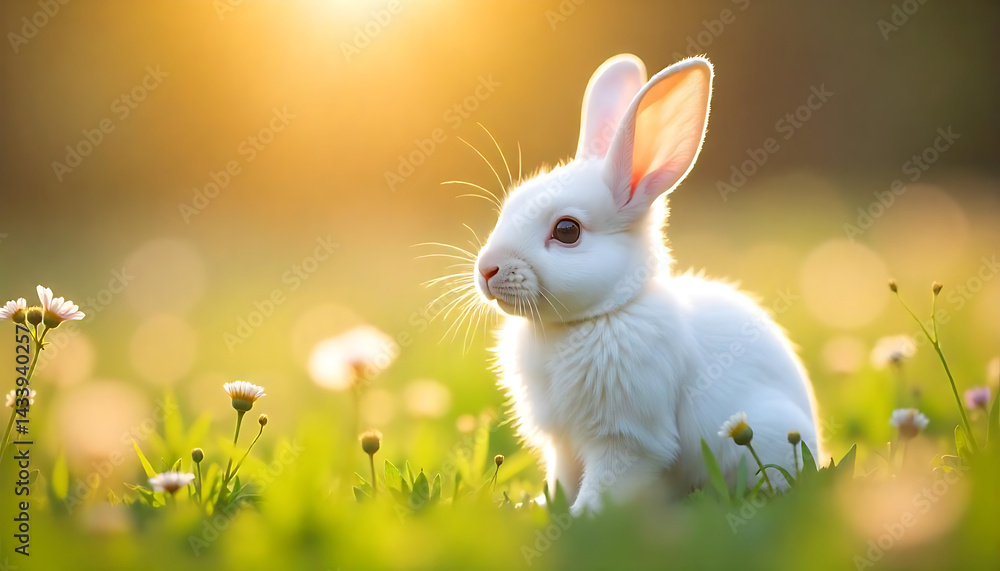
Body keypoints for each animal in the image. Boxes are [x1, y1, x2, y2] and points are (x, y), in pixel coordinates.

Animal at [471, 54, 822, 515]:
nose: (487, 269)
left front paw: (581, 518)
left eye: (567, 230)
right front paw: (542, 510)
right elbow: (561, 479)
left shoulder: (628, 438)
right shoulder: (563, 444)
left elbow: (606, 481)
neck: (596, 316)